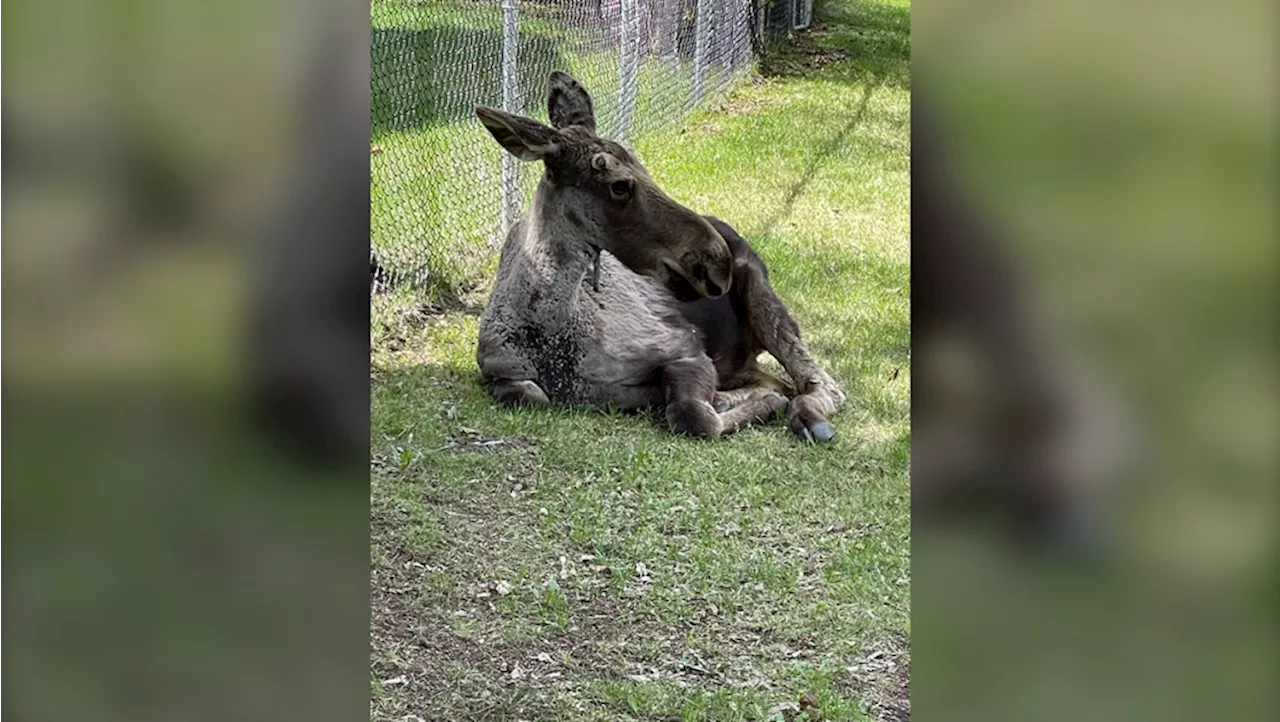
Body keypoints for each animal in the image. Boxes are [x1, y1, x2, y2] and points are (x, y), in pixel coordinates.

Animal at [476, 74, 844, 445]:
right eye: (620, 185)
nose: (716, 259)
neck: (553, 336)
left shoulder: (684, 348)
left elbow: (693, 415)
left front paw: (762, 404)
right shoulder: (502, 374)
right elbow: (528, 395)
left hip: (761, 296)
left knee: (818, 383)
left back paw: (808, 418)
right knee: (781, 381)